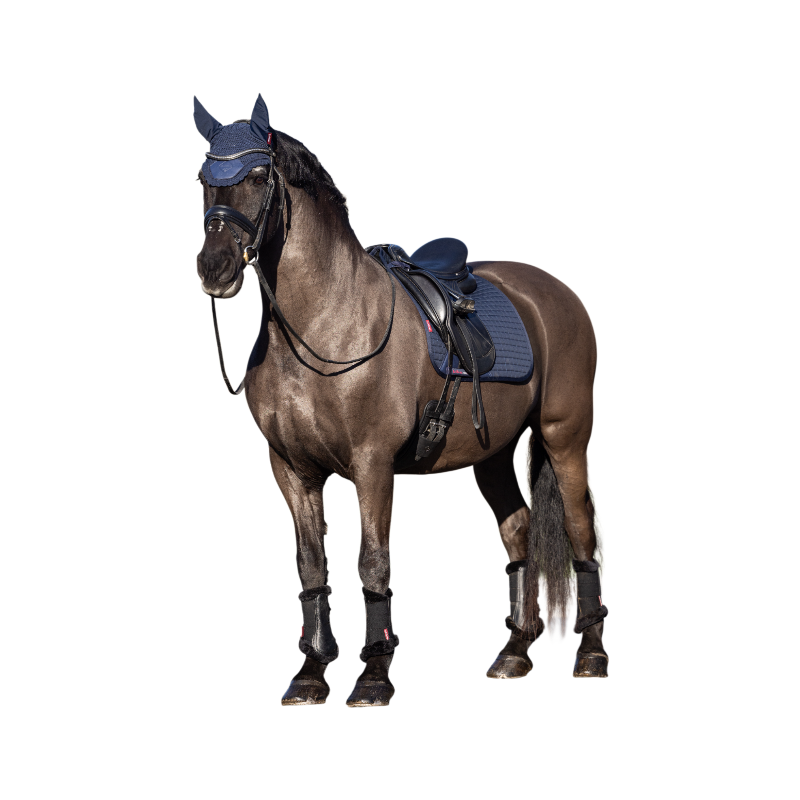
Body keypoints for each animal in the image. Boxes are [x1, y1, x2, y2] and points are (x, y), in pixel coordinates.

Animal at [193, 93, 608, 706]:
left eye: (260, 176)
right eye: (205, 179)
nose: (215, 268)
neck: (325, 324)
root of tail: (555, 292)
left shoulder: (372, 463)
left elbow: (372, 562)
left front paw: (372, 674)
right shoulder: (291, 469)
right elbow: (311, 568)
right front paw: (310, 674)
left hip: (565, 438)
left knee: (582, 529)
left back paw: (592, 652)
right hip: (490, 455)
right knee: (519, 531)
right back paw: (513, 652)